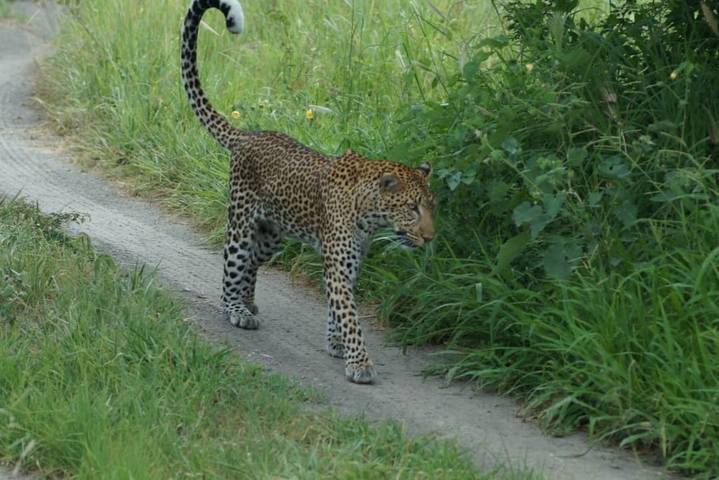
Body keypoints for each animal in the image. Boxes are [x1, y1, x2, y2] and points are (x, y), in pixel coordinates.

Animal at [181, 0, 435, 384]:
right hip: (240, 221)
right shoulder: (338, 261)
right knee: (231, 265)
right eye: (412, 208)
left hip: (272, 234)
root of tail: (250, 135)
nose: (431, 238)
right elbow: (348, 313)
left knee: (251, 263)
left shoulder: (350, 261)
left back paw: (248, 301)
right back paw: (237, 309)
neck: (369, 215)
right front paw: (359, 362)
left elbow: (337, 308)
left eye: (431, 207)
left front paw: (337, 343)